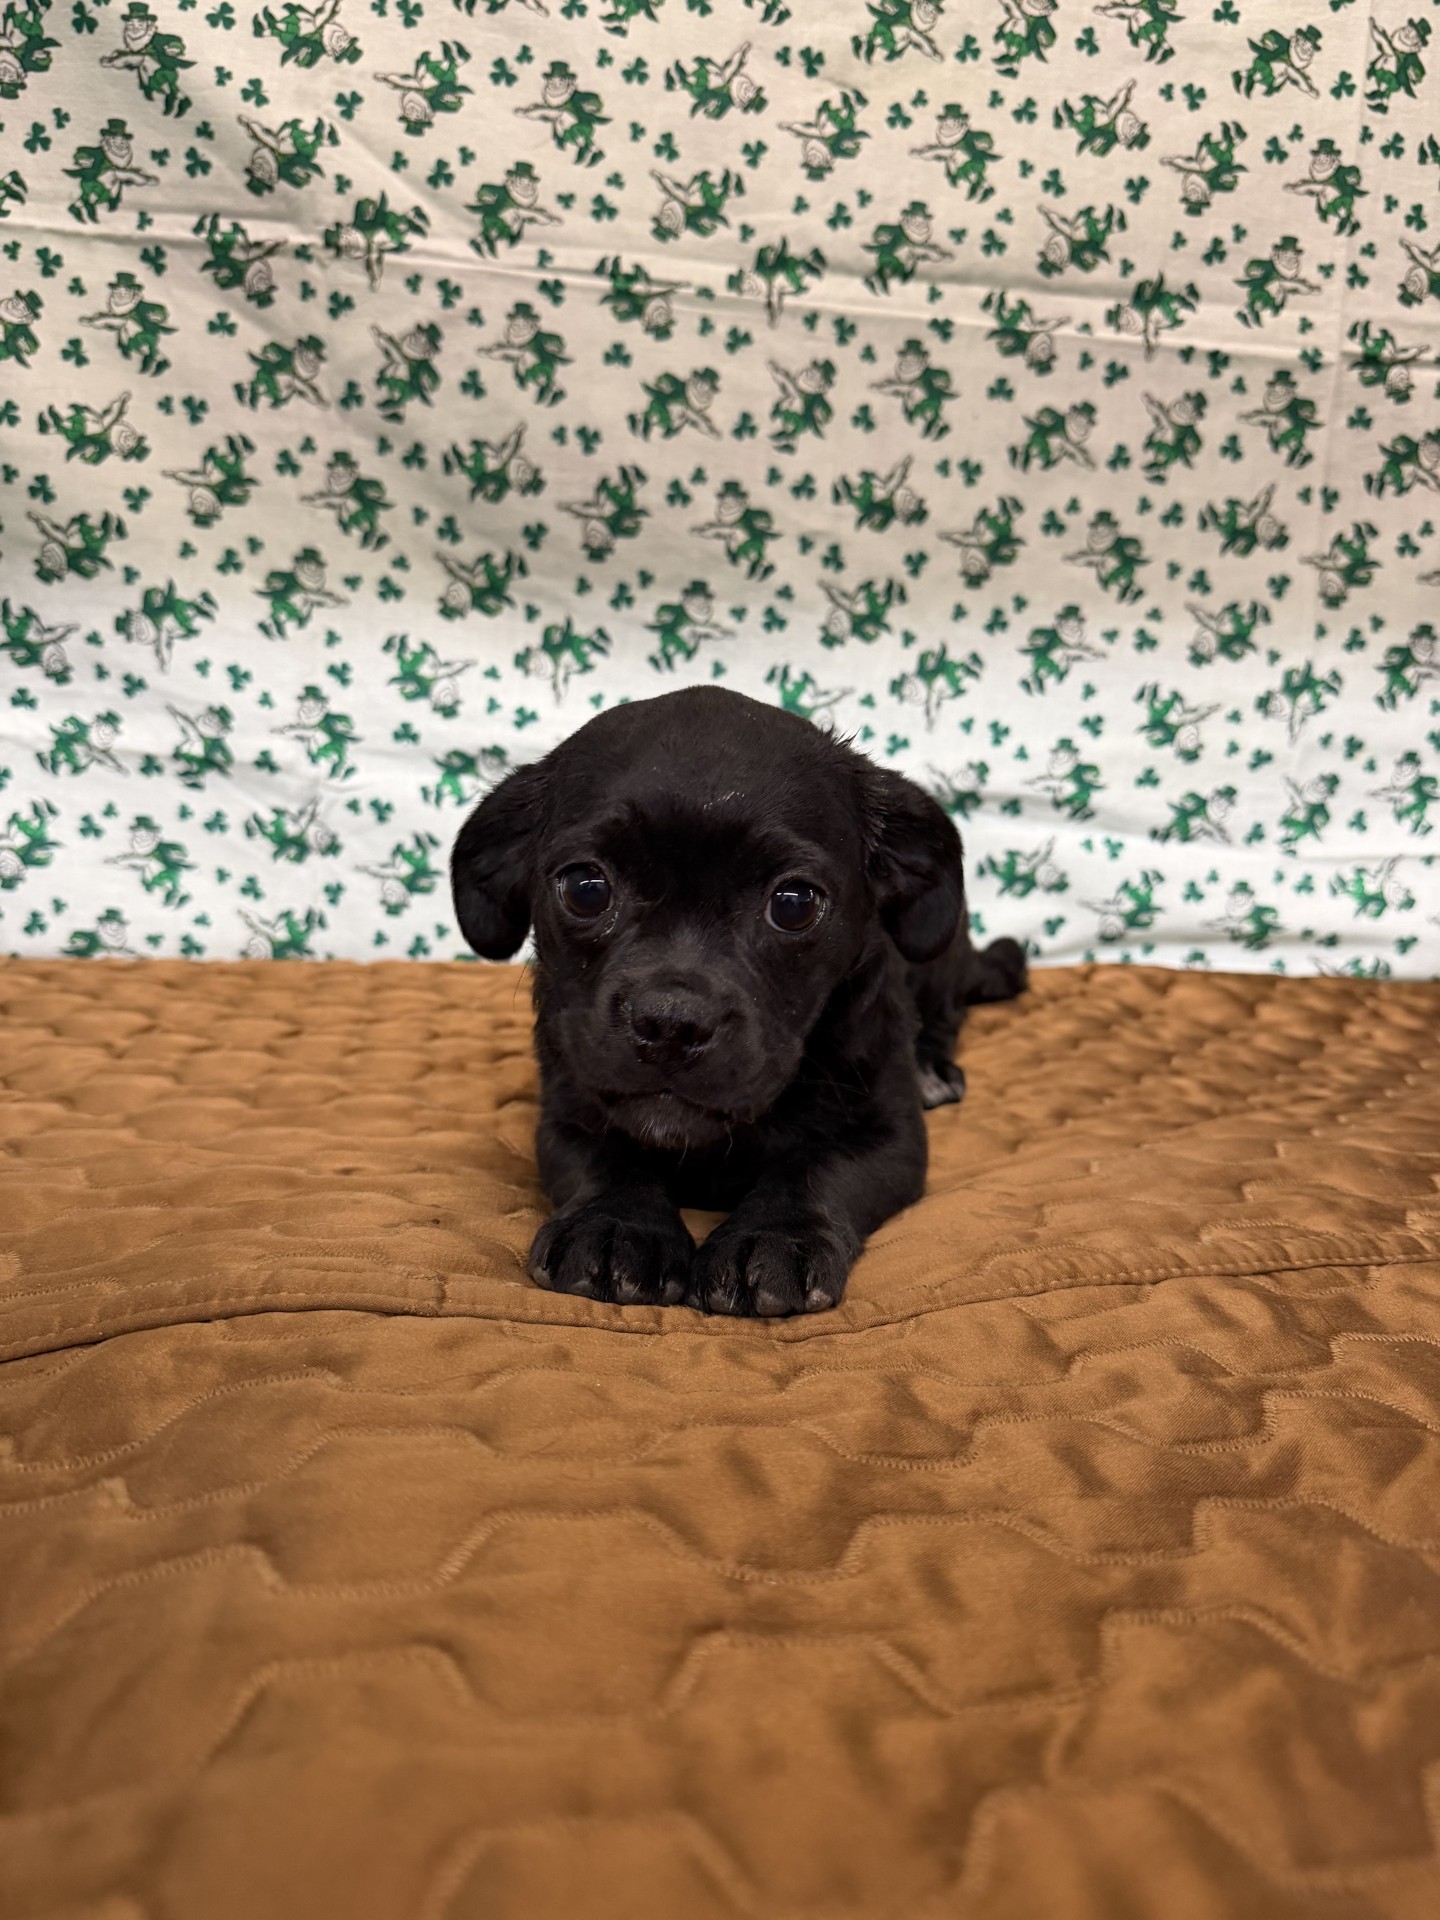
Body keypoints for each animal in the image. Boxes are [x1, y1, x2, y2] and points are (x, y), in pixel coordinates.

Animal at [451, 686, 1026, 1316]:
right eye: (585, 888)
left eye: (794, 903)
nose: (671, 1024)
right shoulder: (568, 1113)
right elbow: (606, 1159)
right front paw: (613, 1226)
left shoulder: (887, 1137)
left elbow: (817, 1167)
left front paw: (773, 1238)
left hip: (941, 954)